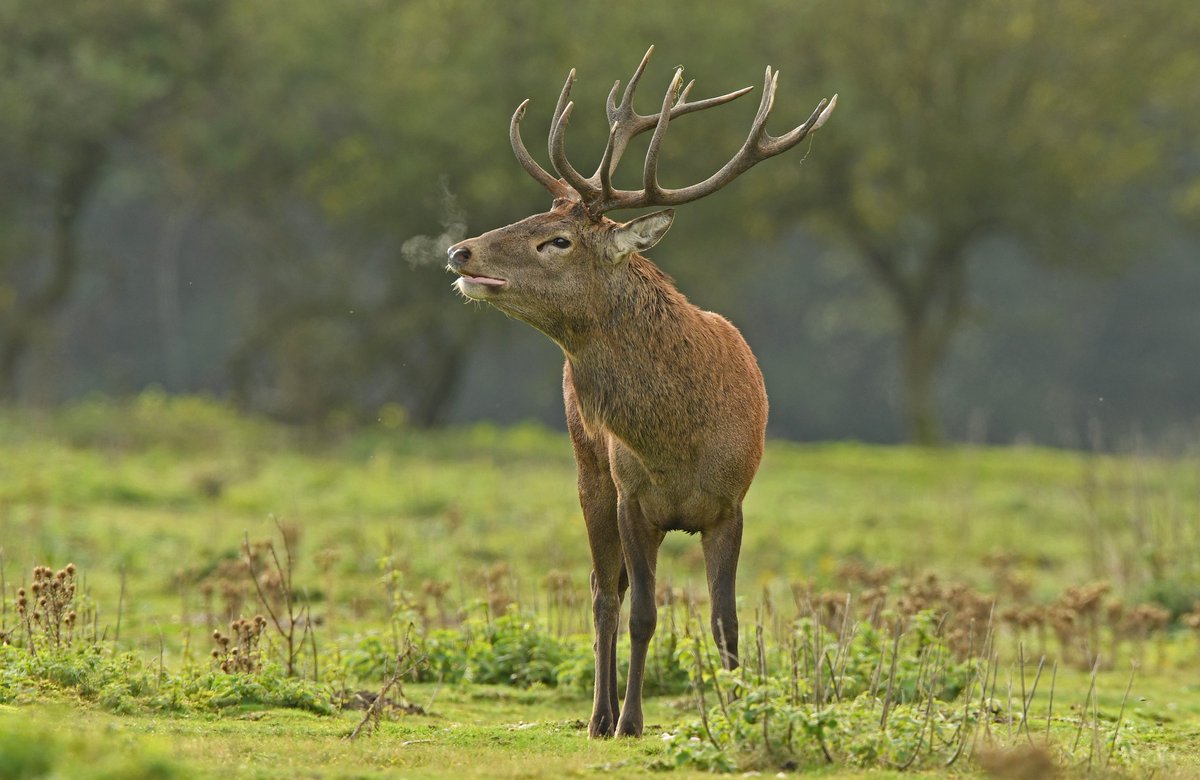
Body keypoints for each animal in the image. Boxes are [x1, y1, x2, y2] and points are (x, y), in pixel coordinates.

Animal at [446, 46, 835, 738]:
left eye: (558, 239)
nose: (460, 251)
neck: (678, 440)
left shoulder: (732, 503)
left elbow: (726, 623)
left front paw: (742, 711)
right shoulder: (632, 496)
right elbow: (641, 614)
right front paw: (630, 720)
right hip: (589, 471)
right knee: (604, 593)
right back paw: (599, 716)